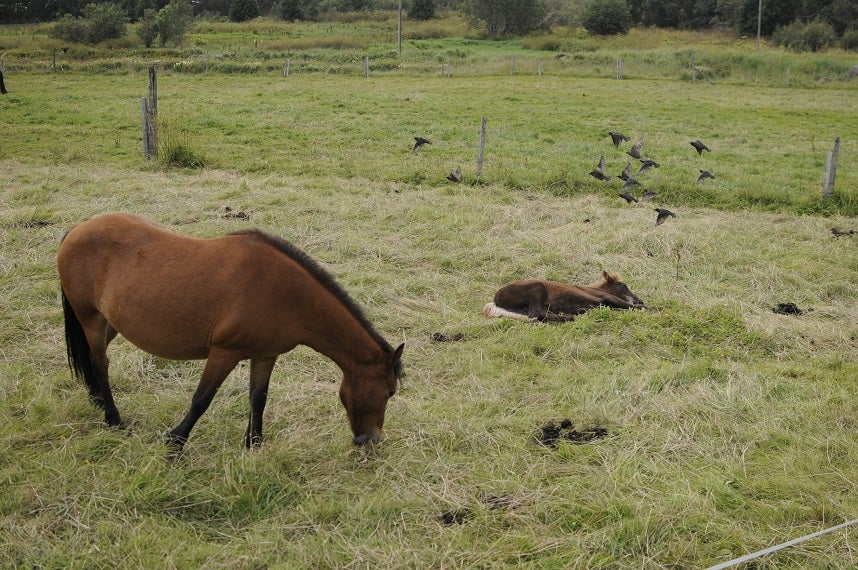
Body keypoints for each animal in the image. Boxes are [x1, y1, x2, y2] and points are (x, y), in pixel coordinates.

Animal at [57, 213, 404, 448]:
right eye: (389, 392)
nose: (370, 440)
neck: (285, 294)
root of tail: (78, 229)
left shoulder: (265, 354)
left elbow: (258, 397)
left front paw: (254, 443)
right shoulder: (225, 352)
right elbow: (202, 399)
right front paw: (175, 442)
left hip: (109, 323)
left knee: (92, 361)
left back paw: (99, 403)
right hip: (91, 318)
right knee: (100, 364)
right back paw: (114, 419)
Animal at [482, 270, 640, 322]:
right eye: (623, 285)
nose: (639, 299)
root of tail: (495, 300)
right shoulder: (603, 298)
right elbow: (629, 306)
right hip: (537, 289)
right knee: (537, 313)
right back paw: (568, 318)